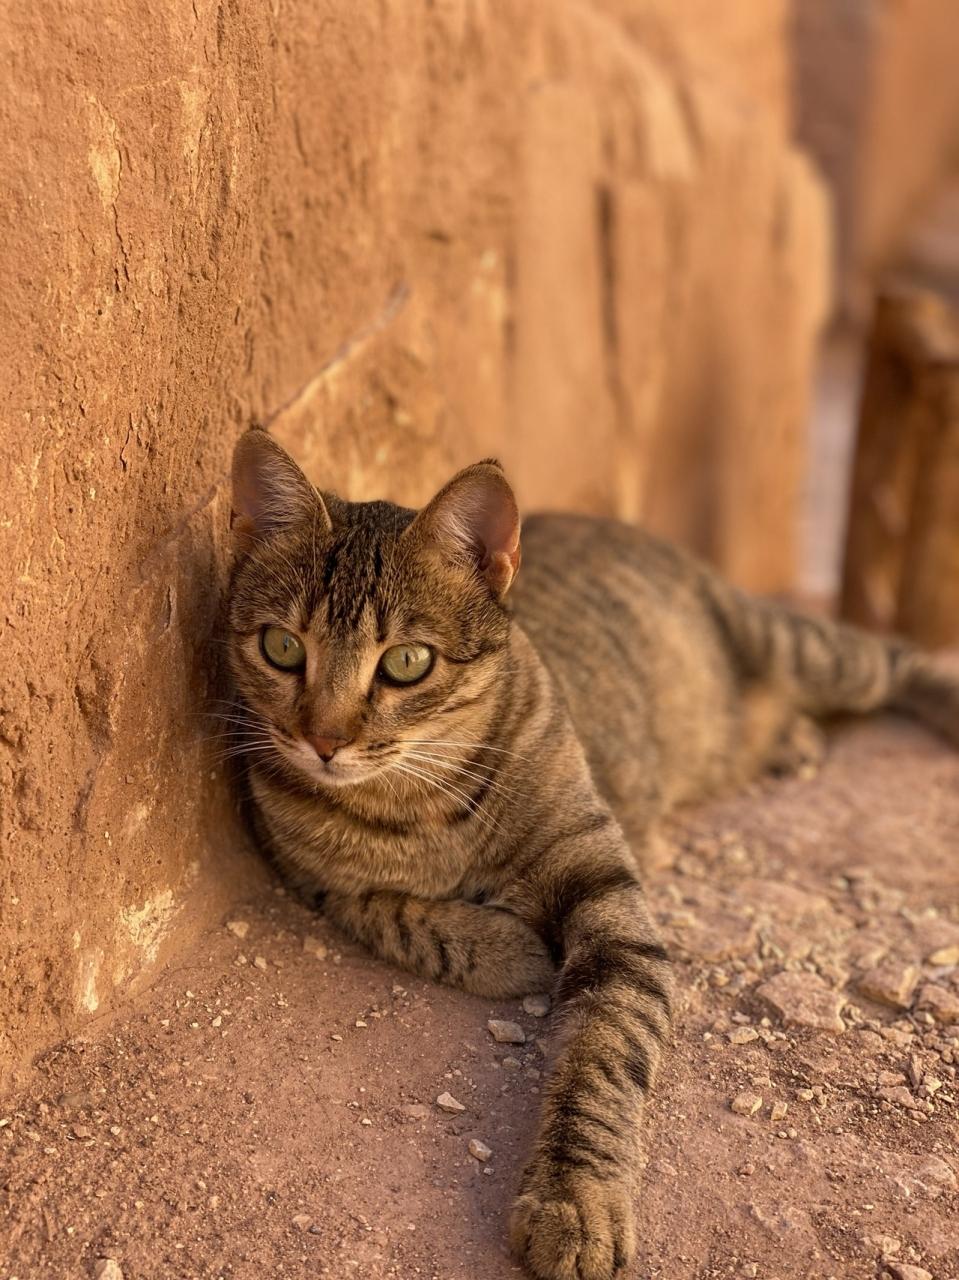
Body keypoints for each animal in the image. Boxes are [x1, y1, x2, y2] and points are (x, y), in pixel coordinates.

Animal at [226, 427, 957, 1280]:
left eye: (407, 662)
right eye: (282, 648)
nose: (324, 740)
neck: (414, 804)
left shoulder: (609, 901)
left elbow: (600, 1057)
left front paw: (574, 1202)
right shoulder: (304, 869)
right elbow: (390, 913)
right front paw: (506, 947)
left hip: (800, 646)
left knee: (894, 660)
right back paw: (788, 741)